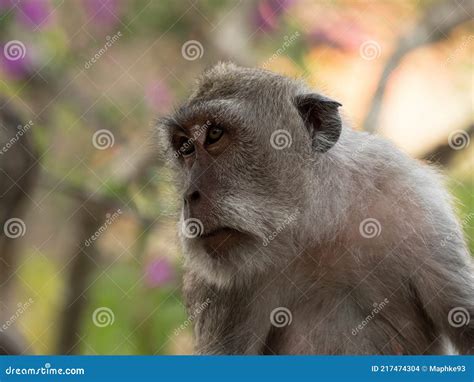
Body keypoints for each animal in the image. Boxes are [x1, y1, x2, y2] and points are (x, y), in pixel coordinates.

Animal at [158, 62, 474, 356]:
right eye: (185, 147)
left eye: (214, 134)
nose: (189, 195)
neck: (314, 228)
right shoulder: (216, 286)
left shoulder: (413, 201)